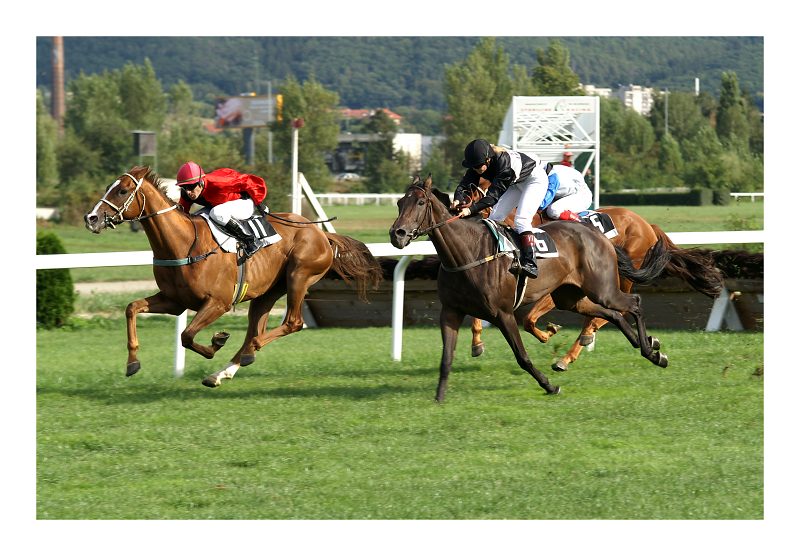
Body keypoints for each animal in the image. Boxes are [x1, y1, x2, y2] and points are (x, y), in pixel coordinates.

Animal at [83, 165, 382, 386]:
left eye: (122, 190)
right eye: (110, 187)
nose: (91, 218)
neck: (184, 243)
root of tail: (320, 232)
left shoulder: (218, 303)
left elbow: (187, 336)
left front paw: (216, 342)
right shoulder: (174, 301)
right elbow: (132, 308)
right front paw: (132, 362)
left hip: (299, 275)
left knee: (290, 323)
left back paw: (248, 352)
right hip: (267, 291)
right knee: (255, 327)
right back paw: (223, 371)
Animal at [388, 176, 668, 402]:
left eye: (420, 203)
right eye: (400, 203)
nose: (397, 234)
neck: (466, 253)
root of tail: (597, 235)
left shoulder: (503, 313)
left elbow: (522, 355)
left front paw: (549, 386)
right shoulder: (450, 312)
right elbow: (446, 359)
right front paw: (439, 398)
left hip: (603, 288)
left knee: (633, 303)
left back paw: (650, 350)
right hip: (571, 297)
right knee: (612, 314)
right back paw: (647, 347)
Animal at [462, 180, 724, 372]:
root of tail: (647, 224)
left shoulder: (555, 286)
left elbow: (528, 320)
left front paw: (549, 333)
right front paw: (477, 343)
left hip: (618, 276)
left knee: (614, 310)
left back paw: (574, 352)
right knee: (611, 312)